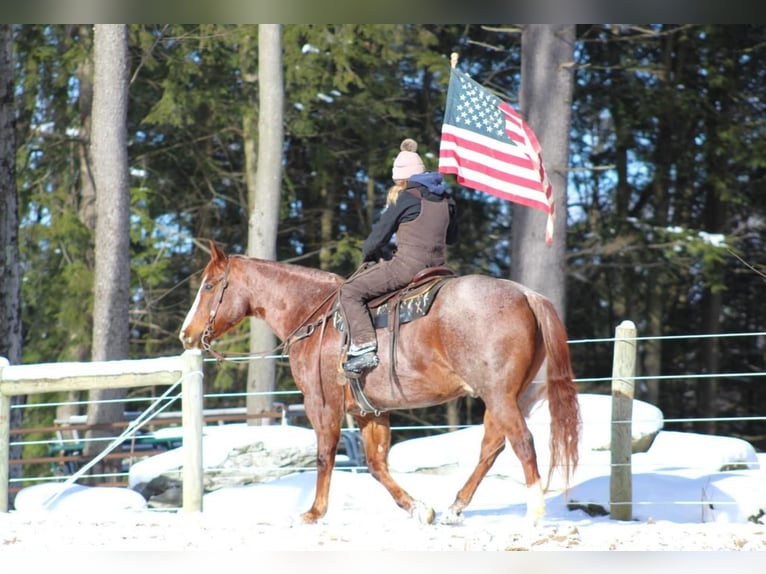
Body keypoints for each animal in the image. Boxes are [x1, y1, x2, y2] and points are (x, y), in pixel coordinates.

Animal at [182, 242, 584, 528]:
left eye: (209, 285)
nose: (186, 334)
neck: (314, 314)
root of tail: (525, 294)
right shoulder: (369, 412)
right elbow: (376, 465)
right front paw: (418, 508)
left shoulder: (321, 404)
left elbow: (324, 455)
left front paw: (314, 512)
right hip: (511, 397)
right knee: (492, 447)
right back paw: (455, 508)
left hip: (499, 396)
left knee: (522, 443)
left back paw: (534, 513)